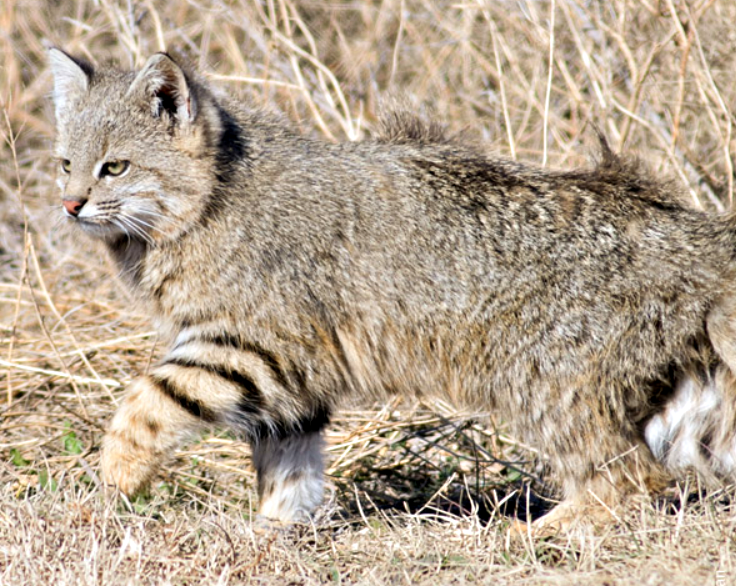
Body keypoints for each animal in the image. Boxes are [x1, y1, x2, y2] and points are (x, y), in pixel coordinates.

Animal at [49, 48, 736, 528]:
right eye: (66, 164)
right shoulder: (293, 375)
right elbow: (288, 461)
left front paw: (112, 480)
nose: (70, 204)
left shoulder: (249, 347)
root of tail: (691, 229)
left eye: (115, 167)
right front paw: (275, 529)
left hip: (549, 386)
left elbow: (144, 404)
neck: (207, 203)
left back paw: (540, 532)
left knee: (632, 482)